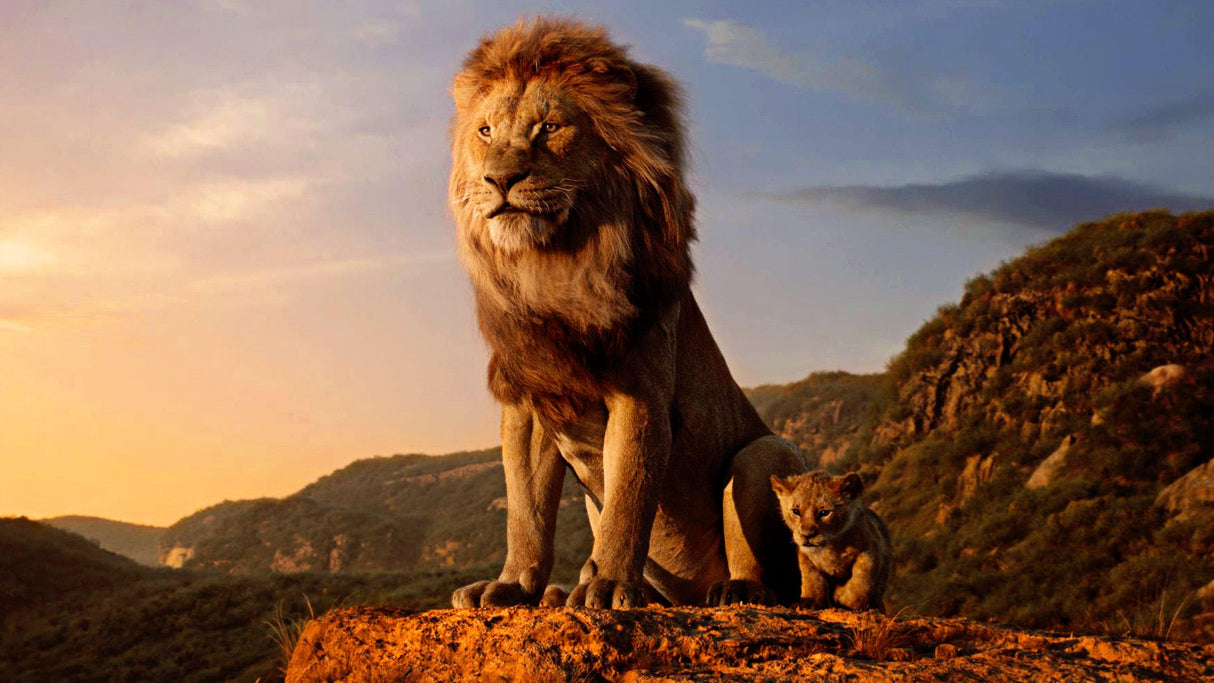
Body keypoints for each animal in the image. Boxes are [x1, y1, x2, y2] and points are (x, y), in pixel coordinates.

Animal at [447, 17, 807, 609]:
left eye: (549, 127)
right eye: (485, 132)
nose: (499, 180)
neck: (553, 266)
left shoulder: (640, 393)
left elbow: (629, 498)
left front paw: (610, 584)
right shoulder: (529, 400)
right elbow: (526, 511)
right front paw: (512, 585)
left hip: (764, 453)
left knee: (770, 576)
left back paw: (732, 591)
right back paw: (565, 592)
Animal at [770, 471, 892, 611]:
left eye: (824, 513)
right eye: (796, 511)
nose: (807, 535)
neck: (830, 548)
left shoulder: (870, 550)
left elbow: (861, 580)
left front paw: (844, 599)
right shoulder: (805, 557)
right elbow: (812, 578)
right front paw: (810, 602)